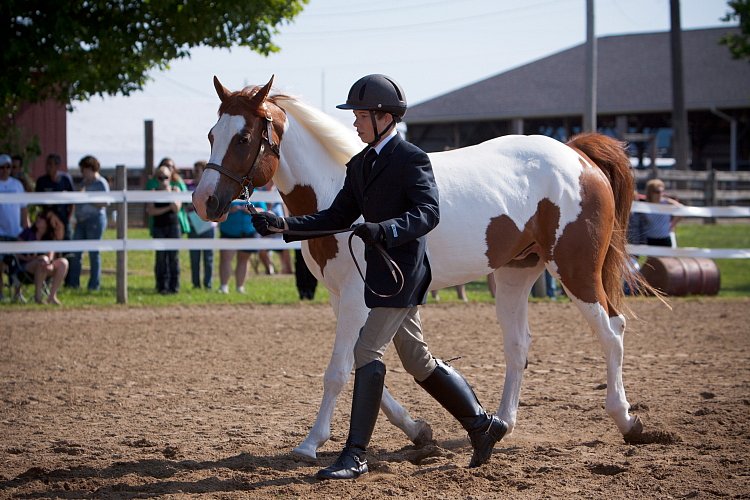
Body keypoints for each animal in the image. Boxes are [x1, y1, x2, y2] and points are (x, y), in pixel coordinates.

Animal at [192, 75, 652, 460]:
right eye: (213, 134)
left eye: (244, 137)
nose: (205, 202)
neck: (335, 188)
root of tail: (576, 155)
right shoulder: (347, 300)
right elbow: (366, 366)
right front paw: (418, 429)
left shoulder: (357, 300)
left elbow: (339, 370)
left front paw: (310, 443)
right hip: (515, 273)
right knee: (518, 345)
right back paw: (500, 426)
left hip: (576, 271)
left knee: (612, 331)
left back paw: (627, 420)